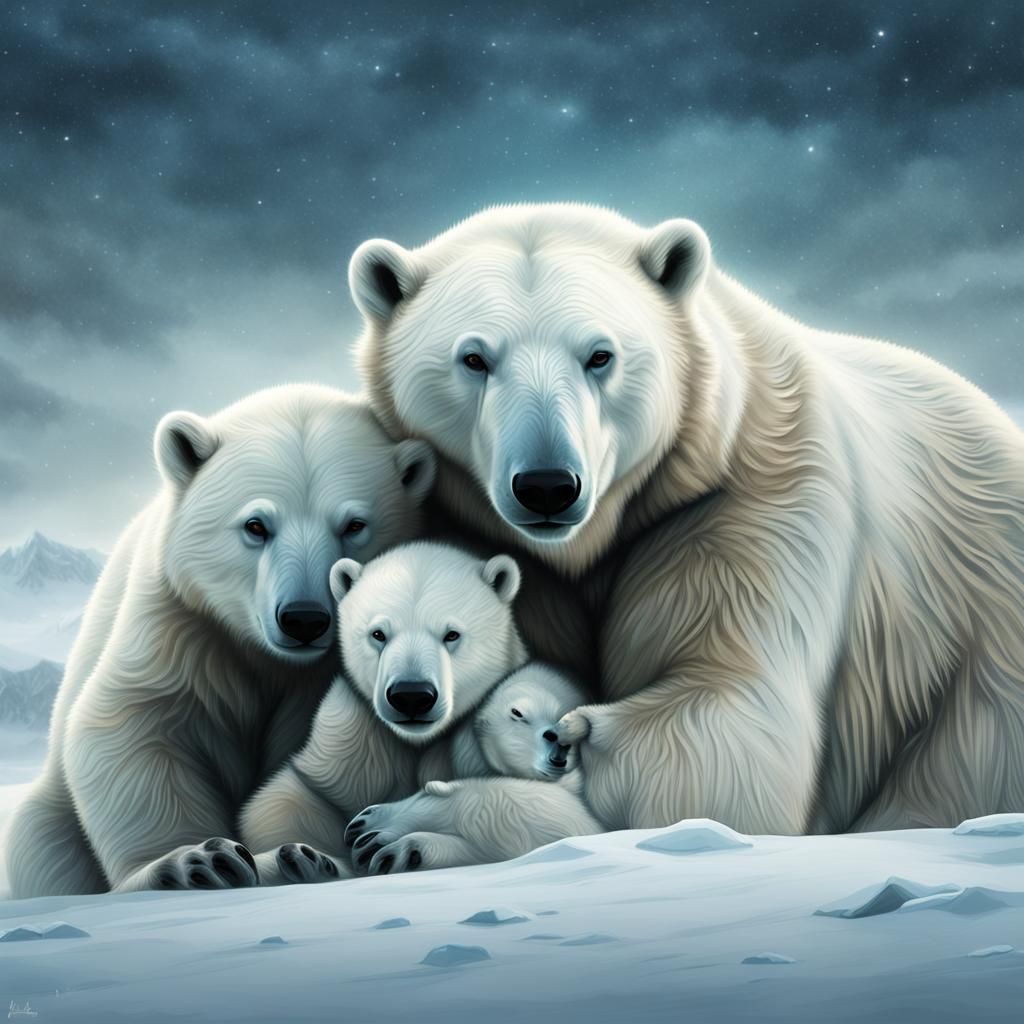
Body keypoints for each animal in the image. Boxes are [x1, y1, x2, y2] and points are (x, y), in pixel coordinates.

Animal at [5, 385, 436, 897]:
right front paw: (197, 859)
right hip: (50, 819)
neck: (271, 658)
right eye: (256, 525)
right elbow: (130, 720)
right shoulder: (183, 622)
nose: (304, 619)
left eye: (354, 524)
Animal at [240, 541, 599, 882]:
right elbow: (292, 798)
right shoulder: (353, 735)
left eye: (451, 634)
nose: (411, 696)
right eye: (378, 634)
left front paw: (386, 835)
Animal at [343, 201, 1024, 857]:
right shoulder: (486, 535)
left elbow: (722, 744)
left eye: (600, 354)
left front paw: (404, 824)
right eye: (474, 357)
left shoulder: (746, 507)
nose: (547, 486)